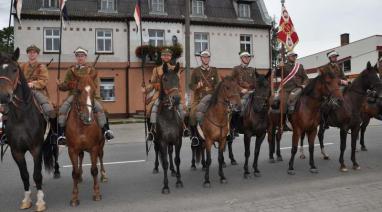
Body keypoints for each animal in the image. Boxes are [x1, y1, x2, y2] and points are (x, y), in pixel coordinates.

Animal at [0, 48, 55, 211]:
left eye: (14, 69)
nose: (4, 96)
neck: (21, 117)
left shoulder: (36, 148)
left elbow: (36, 174)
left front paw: (40, 201)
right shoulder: (16, 151)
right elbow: (24, 175)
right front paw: (26, 199)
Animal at [65, 69, 107, 205]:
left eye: (94, 90)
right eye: (78, 90)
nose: (88, 117)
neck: (82, 125)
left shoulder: (94, 148)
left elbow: (94, 170)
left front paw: (97, 193)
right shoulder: (72, 150)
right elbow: (74, 172)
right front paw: (74, 197)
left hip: (101, 145)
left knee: (101, 157)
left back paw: (104, 175)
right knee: (81, 157)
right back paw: (80, 176)